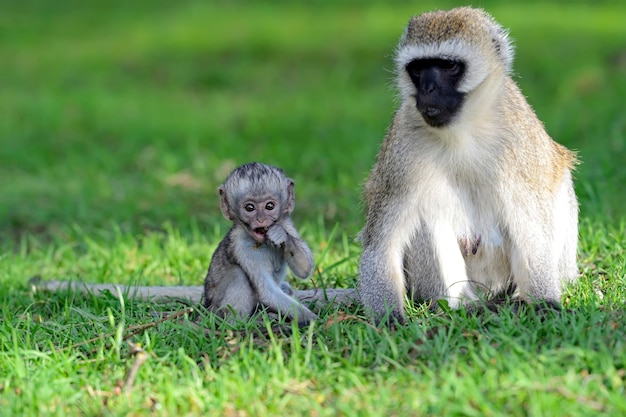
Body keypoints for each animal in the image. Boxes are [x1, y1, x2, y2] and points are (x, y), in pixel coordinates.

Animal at [202, 161, 316, 324]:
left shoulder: (286, 224)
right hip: (215, 308)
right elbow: (267, 292)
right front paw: (312, 319)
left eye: (269, 206)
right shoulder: (242, 245)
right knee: (239, 275)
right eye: (250, 208)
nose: (261, 220)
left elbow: (304, 269)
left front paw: (280, 235)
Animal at [358, 7, 576, 324]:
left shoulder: (517, 140)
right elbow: (381, 247)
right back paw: (460, 307)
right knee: (427, 216)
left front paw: (545, 303)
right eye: (418, 69)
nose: (428, 89)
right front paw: (388, 320)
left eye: (448, 65)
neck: (462, 130)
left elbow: (532, 231)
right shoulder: (402, 148)